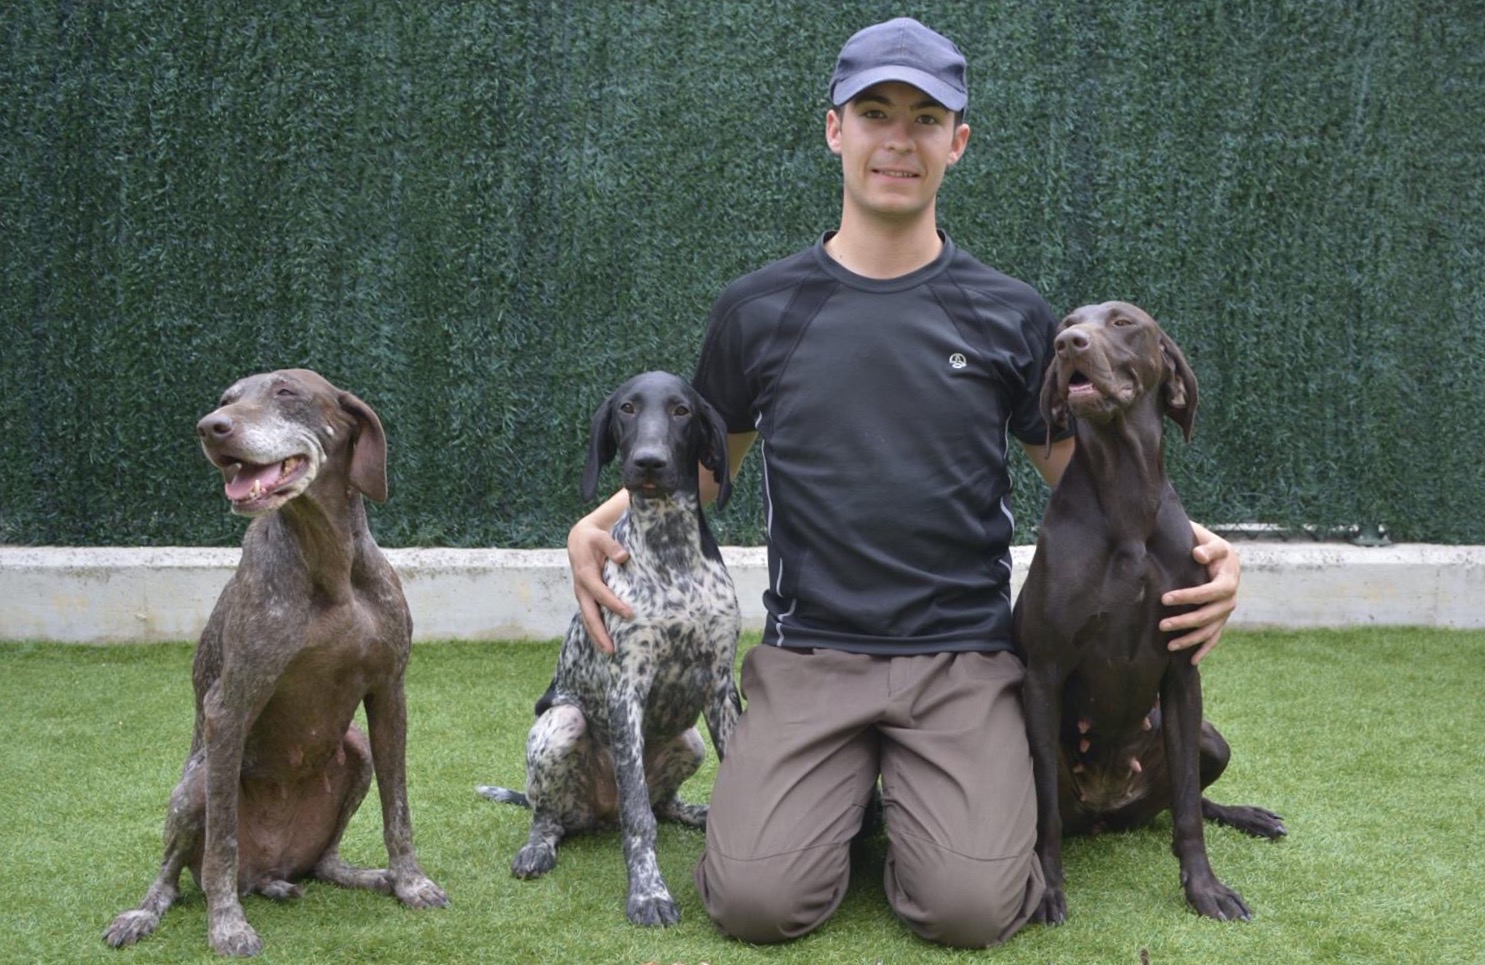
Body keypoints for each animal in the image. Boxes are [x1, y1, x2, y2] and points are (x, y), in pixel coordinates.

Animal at [104, 369, 447, 956]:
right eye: (226, 400)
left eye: (286, 392)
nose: (210, 427)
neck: (327, 560)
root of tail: (269, 871)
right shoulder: (229, 706)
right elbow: (221, 844)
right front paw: (227, 926)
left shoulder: (389, 692)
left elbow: (397, 808)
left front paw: (410, 882)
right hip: (194, 786)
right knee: (172, 875)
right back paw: (144, 914)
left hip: (355, 751)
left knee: (325, 861)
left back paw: (364, 876)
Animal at [478, 370, 742, 927]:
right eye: (627, 408)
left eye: (682, 410)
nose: (648, 461)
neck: (670, 550)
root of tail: (599, 813)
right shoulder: (626, 691)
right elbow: (639, 819)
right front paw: (648, 893)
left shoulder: (720, 688)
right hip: (561, 725)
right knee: (552, 816)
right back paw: (537, 848)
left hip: (691, 740)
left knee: (663, 805)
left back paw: (694, 813)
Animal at [1012, 303, 1285, 925]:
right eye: (1067, 321)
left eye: (1122, 322)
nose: (1068, 343)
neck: (1126, 495)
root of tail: (1107, 808)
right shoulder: (1043, 673)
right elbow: (1042, 811)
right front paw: (1049, 891)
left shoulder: (1183, 672)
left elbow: (1186, 807)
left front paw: (1204, 889)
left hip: (1212, 740)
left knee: (1188, 801)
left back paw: (1246, 815)